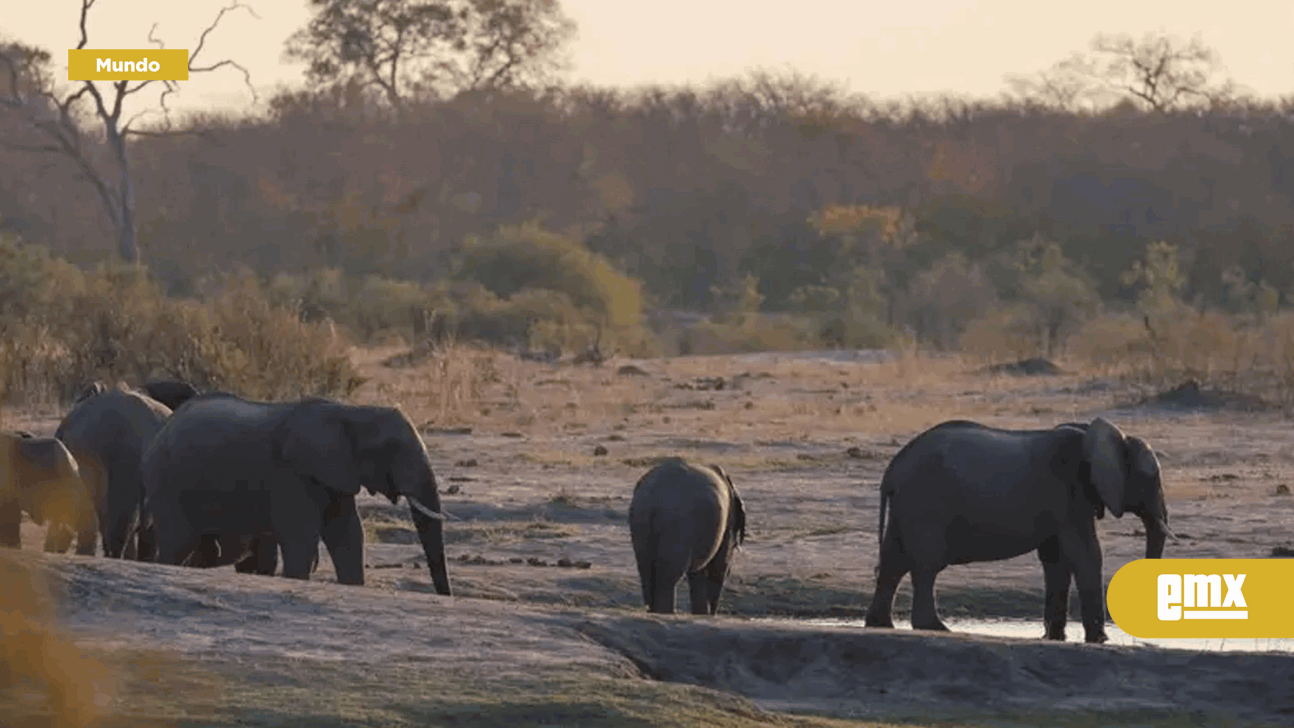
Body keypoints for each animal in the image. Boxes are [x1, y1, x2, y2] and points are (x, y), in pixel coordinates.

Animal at [139, 393, 452, 592]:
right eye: (392, 448)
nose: (445, 596)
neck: (352, 412)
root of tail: (161, 430)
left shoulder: (335, 475)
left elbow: (348, 535)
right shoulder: (291, 474)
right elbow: (302, 539)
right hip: (166, 482)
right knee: (178, 542)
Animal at [628, 460, 750, 615]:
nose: (713, 613)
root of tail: (651, 496)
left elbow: (698, 575)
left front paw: (702, 614)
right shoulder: (729, 523)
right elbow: (718, 566)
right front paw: (708, 614)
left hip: (639, 522)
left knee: (645, 571)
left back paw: (656, 611)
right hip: (677, 525)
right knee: (669, 574)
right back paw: (667, 612)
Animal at [869, 416, 1174, 643]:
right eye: (1151, 478)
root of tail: (892, 470)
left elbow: (1056, 560)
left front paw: (1054, 637)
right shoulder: (1069, 493)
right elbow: (1085, 555)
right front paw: (1099, 640)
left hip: (908, 504)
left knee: (893, 560)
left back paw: (880, 625)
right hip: (925, 502)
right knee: (926, 564)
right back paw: (935, 627)